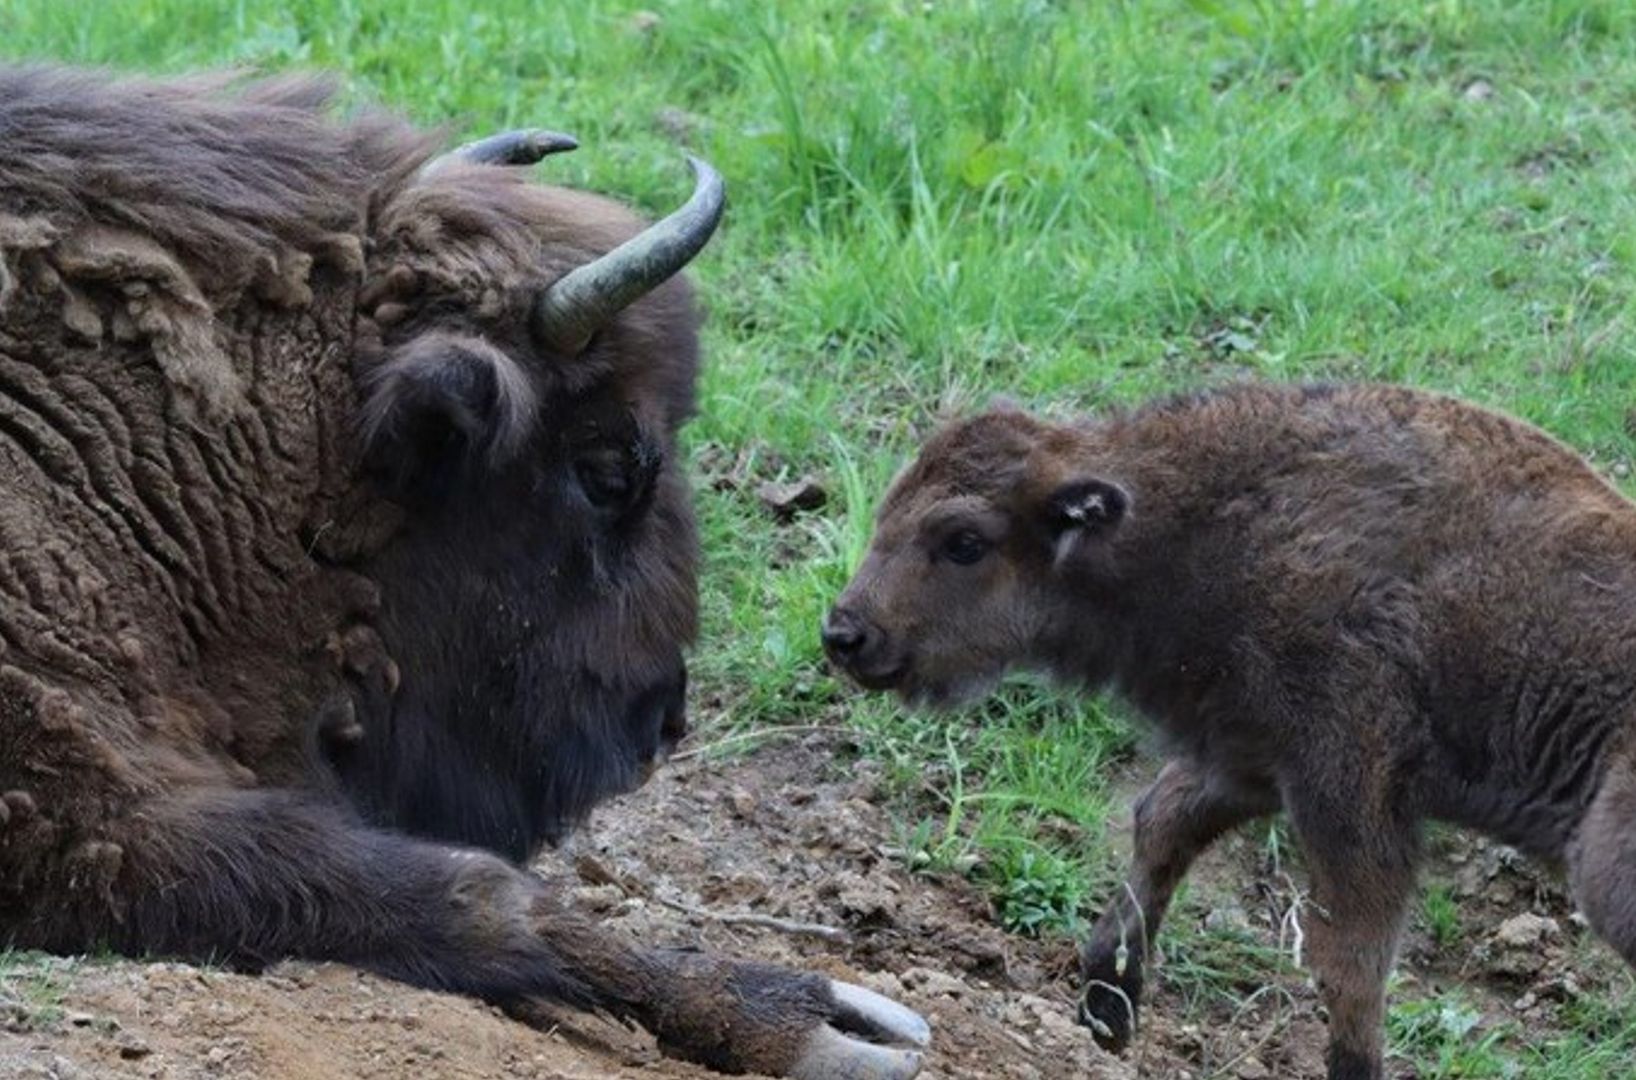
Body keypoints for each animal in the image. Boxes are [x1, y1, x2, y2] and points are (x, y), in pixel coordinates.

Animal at [831, 384, 1636, 1073]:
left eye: (964, 540)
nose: (844, 634)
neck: (1204, 515)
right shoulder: (1246, 755)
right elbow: (1162, 824)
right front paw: (1106, 1010)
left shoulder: (1345, 789)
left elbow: (1353, 962)